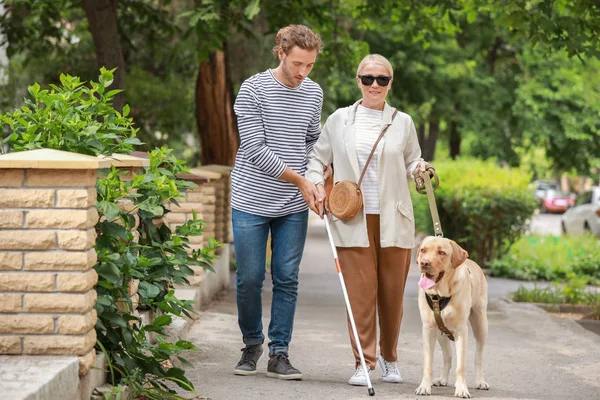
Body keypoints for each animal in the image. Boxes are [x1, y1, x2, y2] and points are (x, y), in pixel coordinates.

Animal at [414, 238, 490, 396]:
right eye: (423, 250)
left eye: (441, 252)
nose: (424, 263)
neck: (439, 295)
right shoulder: (428, 329)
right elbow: (428, 363)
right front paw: (424, 386)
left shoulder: (461, 331)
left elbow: (461, 366)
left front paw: (461, 388)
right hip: (440, 331)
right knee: (447, 356)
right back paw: (442, 379)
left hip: (481, 324)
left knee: (478, 357)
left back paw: (480, 381)